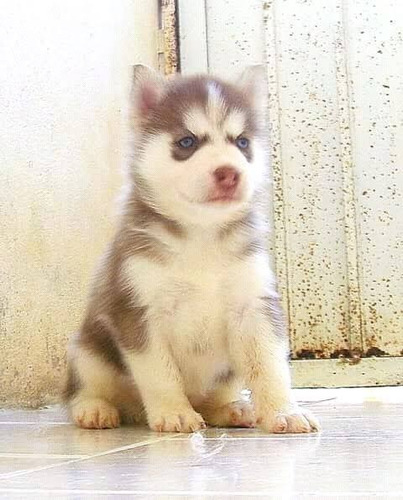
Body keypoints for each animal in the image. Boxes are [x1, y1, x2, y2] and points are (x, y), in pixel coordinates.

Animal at [64, 65, 322, 434]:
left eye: (242, 142)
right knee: (85, 388)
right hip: (87, 349)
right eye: (187, 142)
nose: (229, 173)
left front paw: (283, 411)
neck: (202, 236)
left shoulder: (253, 306)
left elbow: (269, 366)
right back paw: (95, 409)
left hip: (225, 374)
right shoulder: (139, 310)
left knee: (215, 396)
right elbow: (160, 373)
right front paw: (174, 412)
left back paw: (229, 409)